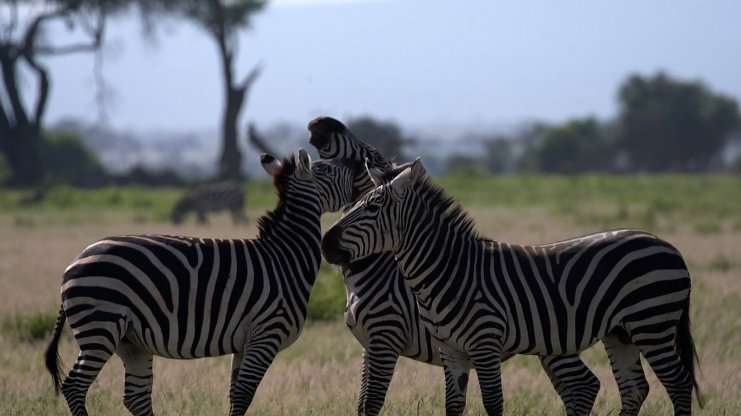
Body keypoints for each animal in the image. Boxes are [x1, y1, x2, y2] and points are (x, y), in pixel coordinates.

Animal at [42, 150, 370, 416]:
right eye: (327, 169)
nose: (361, 163)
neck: (286, 256)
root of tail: (72, 264)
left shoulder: (245, 342)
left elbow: (235, 395)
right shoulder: (266, 334)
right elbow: (244, 395)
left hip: (129, 340)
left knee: (135, 397)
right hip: (101, 327)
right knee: (75, 386)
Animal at [306, 117, 600, 416]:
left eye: (368, 152)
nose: (320, 123)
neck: (377, 271)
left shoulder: (385, 338)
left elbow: (372, 403)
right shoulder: (370, 345)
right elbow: (362, 402)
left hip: (555, 339)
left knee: (584, 385)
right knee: (579, 386)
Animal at [322, 159, 700, 416]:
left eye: (373, 206)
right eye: (353, 203)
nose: (326, 243)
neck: (451, 270)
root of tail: (667, 245)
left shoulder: (482, 343)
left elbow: (492, 404)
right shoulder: (451, 350)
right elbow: (452, 405)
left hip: (651, 323)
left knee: (678, 384)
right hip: (619, 332)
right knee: (633, 389)